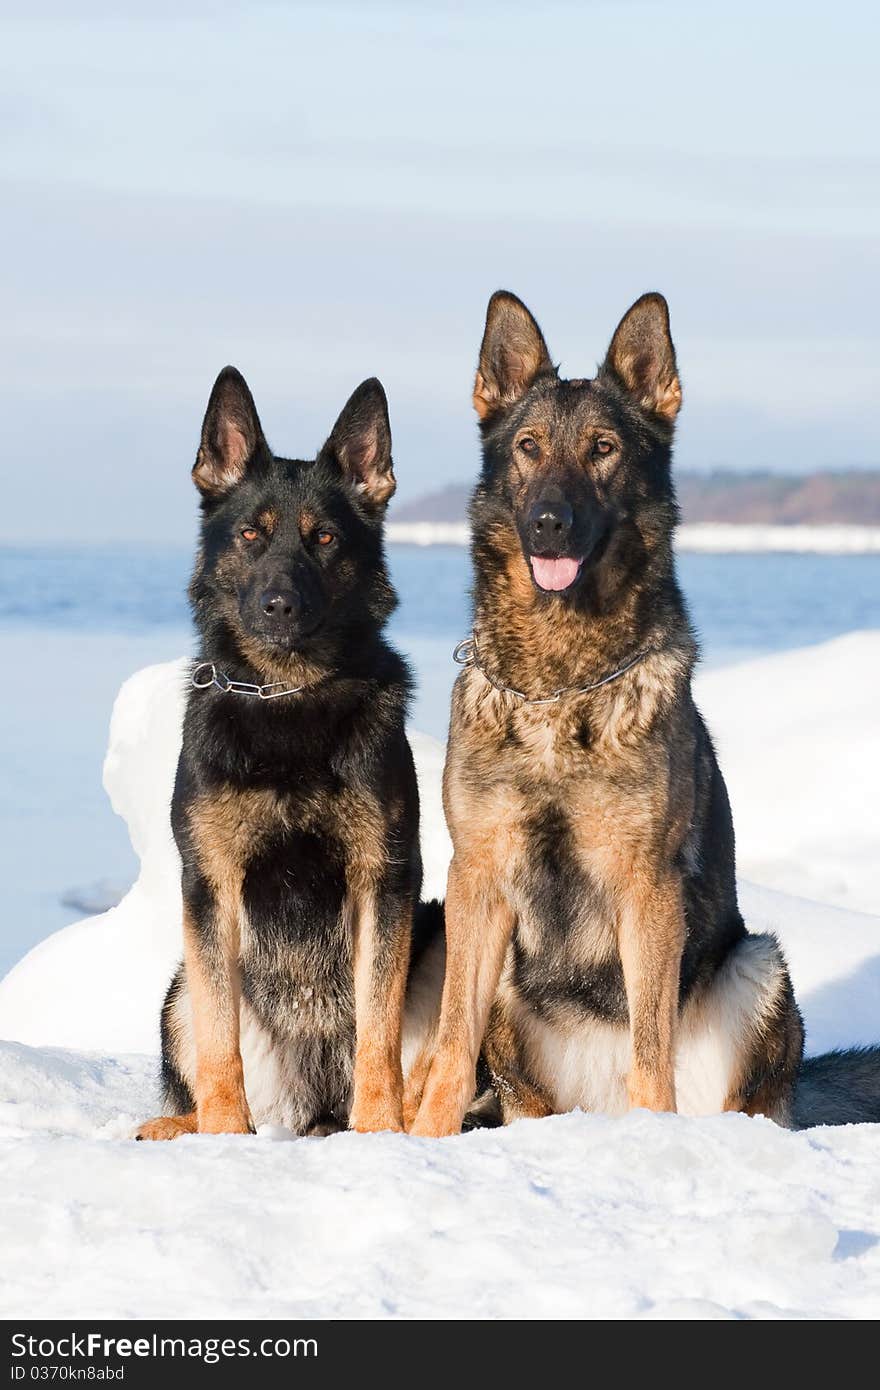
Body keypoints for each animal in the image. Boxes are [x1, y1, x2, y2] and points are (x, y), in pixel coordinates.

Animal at [136, 366, 433, 1139]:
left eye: (323, 538)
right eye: (250, 534)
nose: (279, 606)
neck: (287, 696)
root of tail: (314, 1105)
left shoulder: (385, 878)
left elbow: (379, 1029)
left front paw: (380, 1131)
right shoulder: (211, 885)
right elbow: (219, 1036)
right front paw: (222, 1134)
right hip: (175, 990)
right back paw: (183, 1125)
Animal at [405, 287, 878, 1134]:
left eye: (602, 448)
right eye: (527, 447)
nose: (548, 523)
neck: (563, 685)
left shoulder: (646, 887)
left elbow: (651, 1052)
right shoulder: (478, 881)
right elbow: (451, 1044)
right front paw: (424, 1137)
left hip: (757, 965)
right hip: (512, 997)